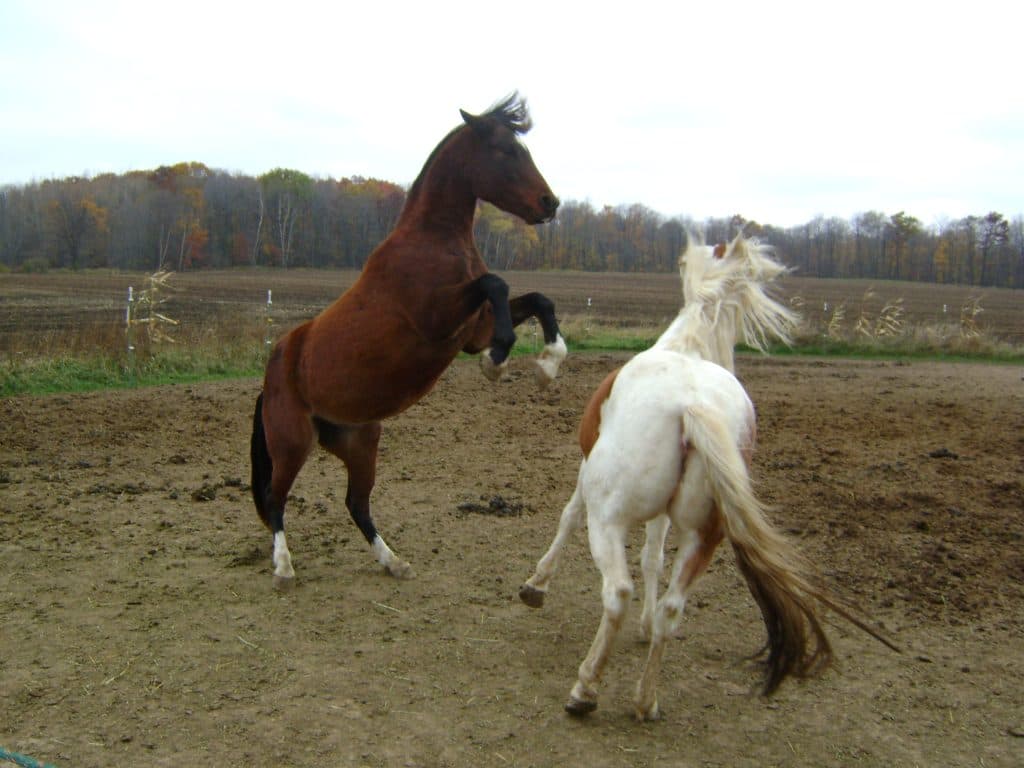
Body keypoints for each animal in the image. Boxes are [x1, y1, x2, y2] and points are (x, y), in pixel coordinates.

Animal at [251, 94, 567, 587]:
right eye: (506, 151)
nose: (549, 202)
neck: (434, 242)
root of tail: (271, 376)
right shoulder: (438, 319)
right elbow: (495, 283)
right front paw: (497, 362)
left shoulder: (470, 329)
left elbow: (537, 299)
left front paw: (550, 363)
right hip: (292, 441)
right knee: (274, 495)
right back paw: (284, 567)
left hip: (360, 441)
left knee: (355, 504)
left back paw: (393, 561)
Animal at [519, 233, 899, 720]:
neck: (689, 345)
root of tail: (692, 405)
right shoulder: (666, 516)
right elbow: (654, 557)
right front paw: (643, 627)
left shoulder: (586, 473)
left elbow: (568, 518)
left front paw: (536, 585)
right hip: (705, 536)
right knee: (672, 608)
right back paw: (646, 700)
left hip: (609, 520)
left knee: (617, 591)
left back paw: (585, 690)